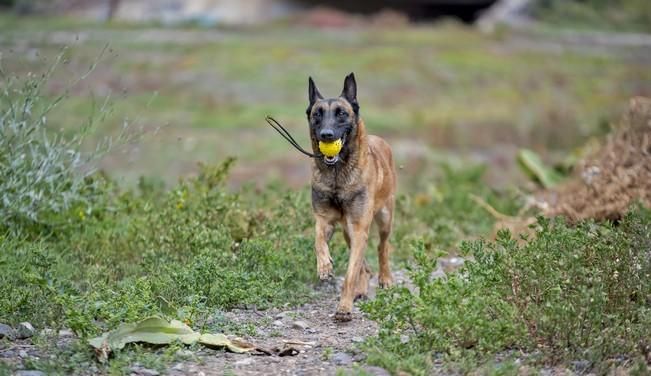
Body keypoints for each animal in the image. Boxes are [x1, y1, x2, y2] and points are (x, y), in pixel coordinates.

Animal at [306, 74, 398, 324]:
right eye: (317, 114)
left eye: (342, 113)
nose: (327, 135)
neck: (338, 175)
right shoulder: (325, 221)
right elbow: (318, 240)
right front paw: (324, 266)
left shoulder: (359, 227)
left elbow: (349, 274)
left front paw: (344, 308)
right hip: (348, 231)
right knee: (364, 267)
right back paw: (361, 290)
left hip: (383, 219)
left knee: (382, 247)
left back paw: (385, 279)